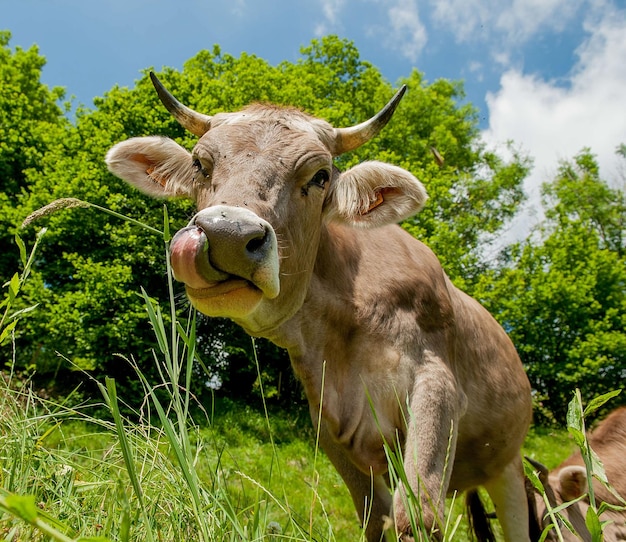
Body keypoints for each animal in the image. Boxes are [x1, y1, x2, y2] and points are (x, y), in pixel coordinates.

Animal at [106, 73, 532, 542]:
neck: (344, 323)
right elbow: (375, 515)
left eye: (321, 176)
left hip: (508, 466)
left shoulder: (437, 385)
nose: (228, 235)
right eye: (201, 164)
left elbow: (417, 515)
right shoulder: (326, 417)